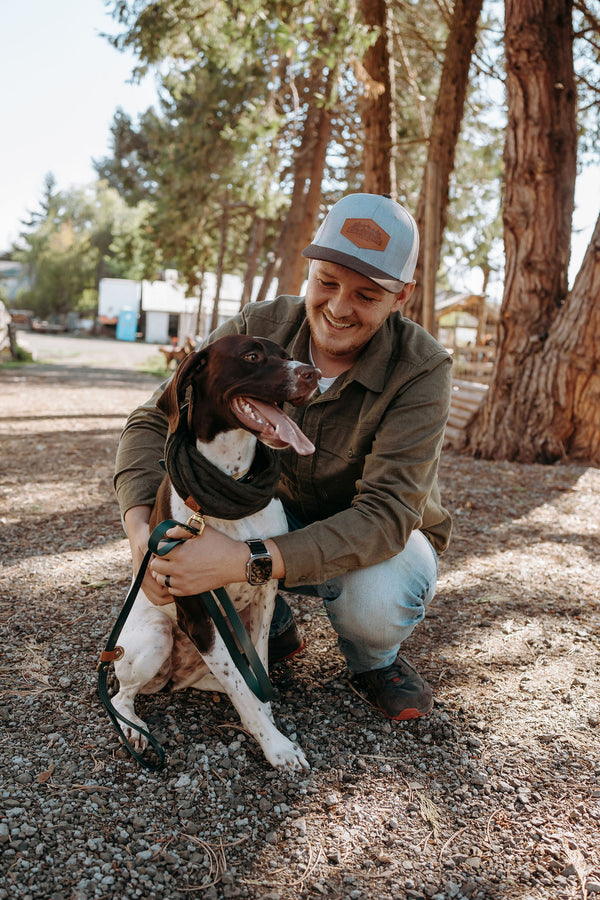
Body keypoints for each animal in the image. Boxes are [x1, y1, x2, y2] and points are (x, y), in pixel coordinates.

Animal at [112, 334, 318, 768]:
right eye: (252, 356)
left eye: (287, 355)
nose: (313, 373)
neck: (232, 478)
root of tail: (175, 679)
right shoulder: (197, 615)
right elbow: (246, 693)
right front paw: (277, 746)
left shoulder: (263, 598)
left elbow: (256, 677)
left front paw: (269, 722)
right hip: (155, 637)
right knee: (122, 696)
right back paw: (132, 728)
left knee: (232, 677)